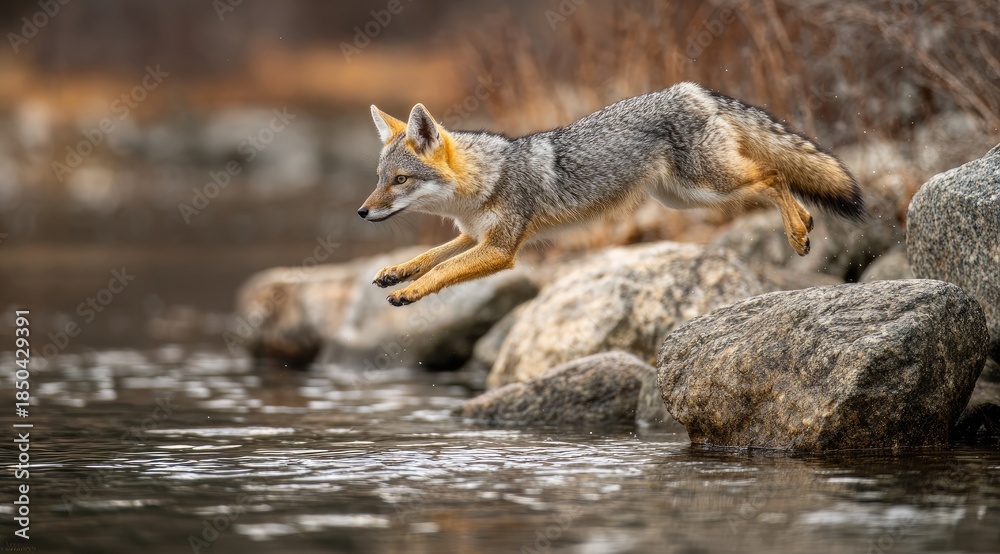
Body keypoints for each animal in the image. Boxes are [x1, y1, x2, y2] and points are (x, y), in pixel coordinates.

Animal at [359, 82, 863, 306]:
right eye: (380, 179)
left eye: (399, 181)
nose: (362, 212)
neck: (485, 180)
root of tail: (691, 89)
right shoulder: (473, 236)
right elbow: (433, 255)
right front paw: (397, 272)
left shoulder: (501, 249)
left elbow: (444, 270)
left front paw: (412, 291)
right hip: (687, 197)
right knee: (773, 175)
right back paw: (806, 223)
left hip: (709, 189)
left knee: (774, 175)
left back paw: (799, 231)